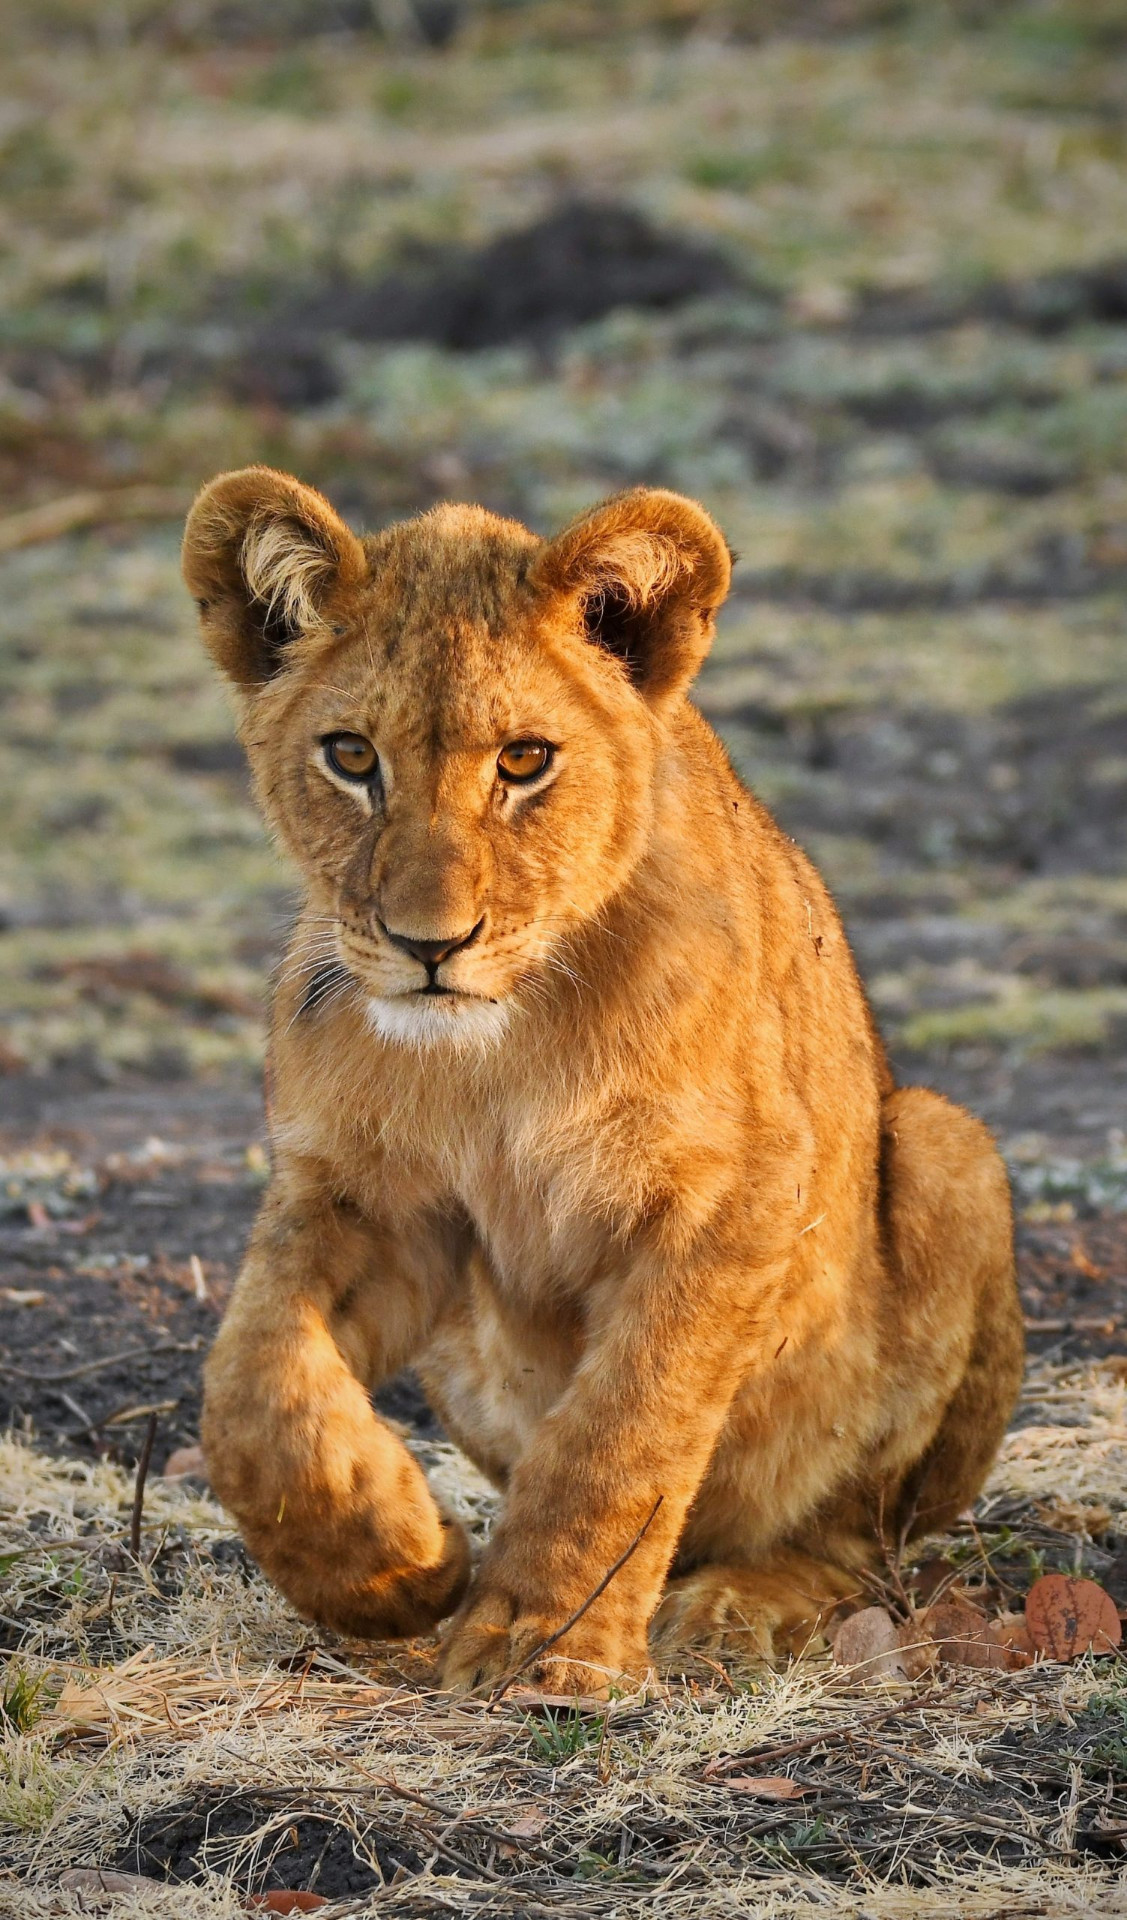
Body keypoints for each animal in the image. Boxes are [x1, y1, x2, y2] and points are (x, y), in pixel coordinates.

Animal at [182, 465, 1023, 1694]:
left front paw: (542, 1641)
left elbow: (623, 1427)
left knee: (860, 1539)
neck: (495, 1051)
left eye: (524, 761)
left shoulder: (731, 1199)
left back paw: (738, 1607)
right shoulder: (364, 1197)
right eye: (351, 757)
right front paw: (392, 1567)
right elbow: (250, 1387)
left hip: (944, 1145)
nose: (429, 945)